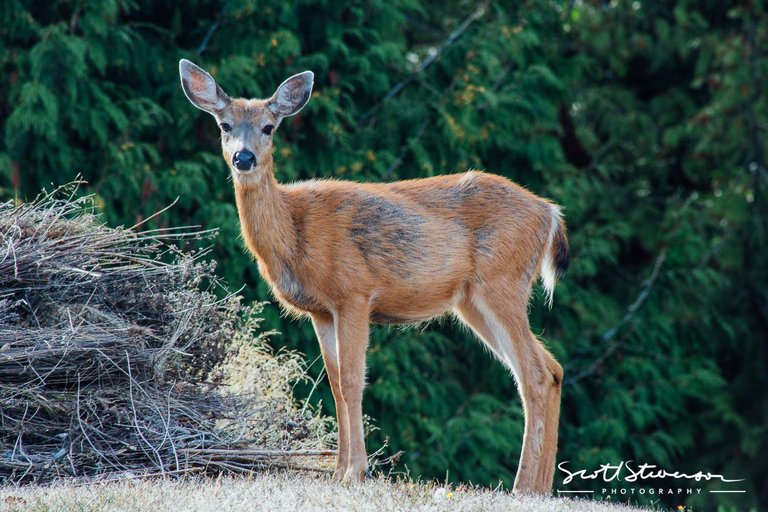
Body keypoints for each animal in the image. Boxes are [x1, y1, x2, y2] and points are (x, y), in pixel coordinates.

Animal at [177, 60, 568, 496]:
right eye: (224, 125)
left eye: (269, 127)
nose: (243, 158)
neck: (294, 231)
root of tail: (550, 213)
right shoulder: (321, 311)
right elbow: (334, 385)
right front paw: (336, 472)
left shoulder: (354, 293)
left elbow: (352, 381)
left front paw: (355, 472)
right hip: (473, 301)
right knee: (550, 368)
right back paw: (542, 488)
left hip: (501, 282)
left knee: (534, 373)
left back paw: (522, 486)